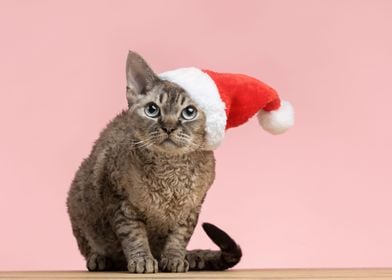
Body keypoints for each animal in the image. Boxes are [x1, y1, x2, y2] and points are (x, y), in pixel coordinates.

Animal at [66, 51, 240, 272]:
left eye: (189, 112)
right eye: (152, 109)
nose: (169, 127)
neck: (170, 175)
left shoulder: (191, 209)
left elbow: (179, 237)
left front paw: (174, 258)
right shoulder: (120, 202)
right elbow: (134, 236)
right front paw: (142, 260)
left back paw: (188, 258)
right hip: (78, 201)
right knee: (93, 245)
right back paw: (101, 259)